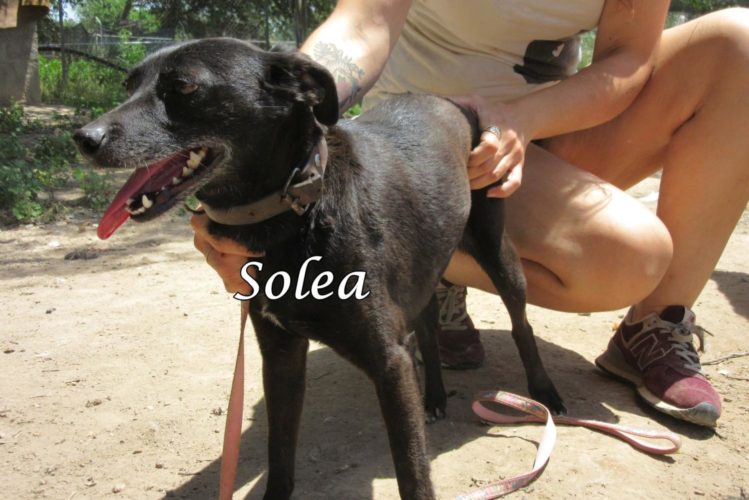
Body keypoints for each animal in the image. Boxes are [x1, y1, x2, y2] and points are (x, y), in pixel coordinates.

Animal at [73, 38, 564, 499]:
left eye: (183, 86)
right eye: (129, 85)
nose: (83, 138)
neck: (296, 212)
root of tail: (453, 103)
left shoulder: (390, 365)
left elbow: (412, 472)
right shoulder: (281, 354)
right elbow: (280, 452)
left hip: (497, 252)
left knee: (520, 325)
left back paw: (545, 393)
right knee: (425, 324)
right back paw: (435, 398)